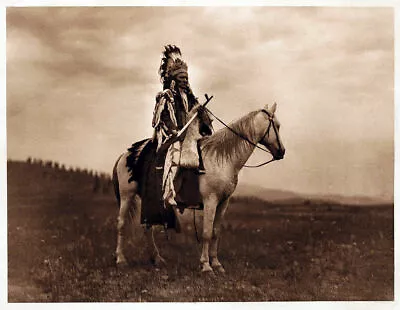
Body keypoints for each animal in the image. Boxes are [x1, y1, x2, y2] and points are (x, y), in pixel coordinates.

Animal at [111, 102, 284, 274]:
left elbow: (215, 232)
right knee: (121, 224)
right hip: (127, 195)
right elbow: (206, 232)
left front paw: (217, 264)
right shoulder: (210, 200)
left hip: (149, 200)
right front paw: (206, 266)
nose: (282, 151)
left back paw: (157, 259)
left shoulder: (223, 203)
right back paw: (121, 259)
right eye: (277, 125)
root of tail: (125, 155)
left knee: (148, 227)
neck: (221, 159)